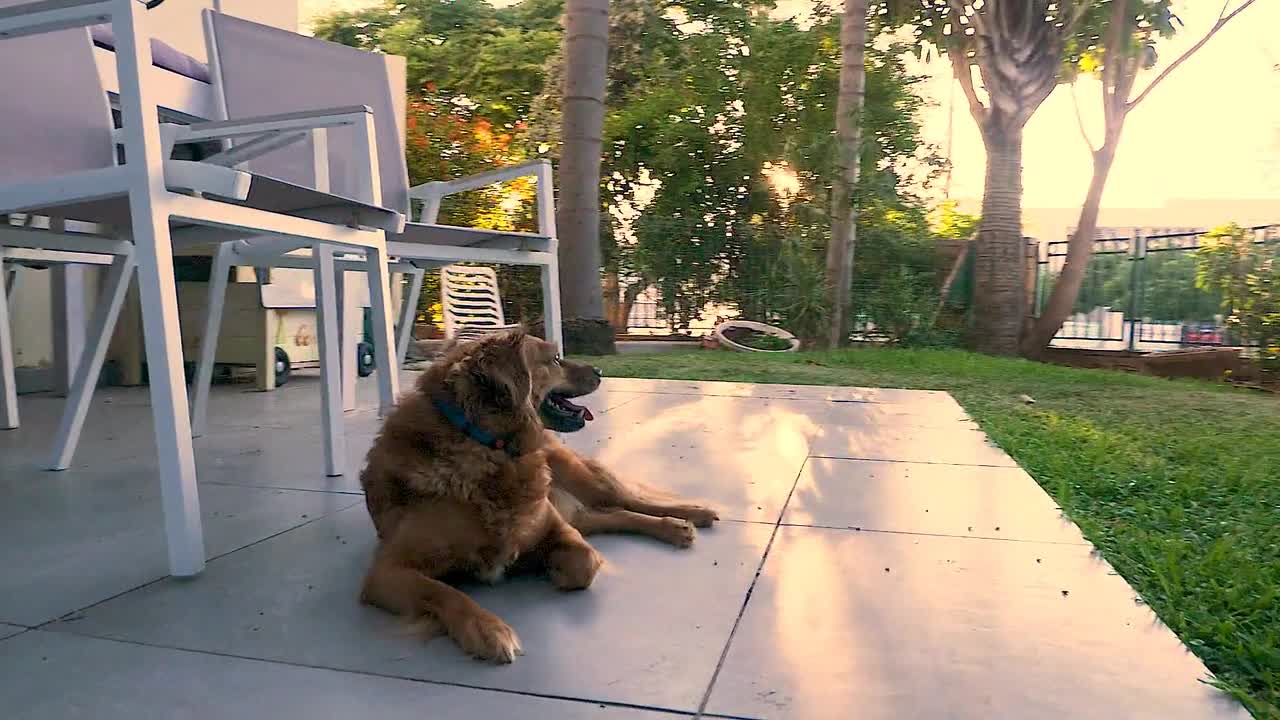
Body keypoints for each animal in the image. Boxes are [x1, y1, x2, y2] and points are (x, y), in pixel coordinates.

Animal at [360, 327, 721, 661]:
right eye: (555, 359)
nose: (600, 370)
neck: (488, 447)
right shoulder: (385, 573)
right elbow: (444, 592)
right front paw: (487, 629)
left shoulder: (553, 525)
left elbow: (584, 562)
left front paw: (549, 566)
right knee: (613, 513)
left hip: (577, 475)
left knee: (625, 501)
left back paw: (688, 516)